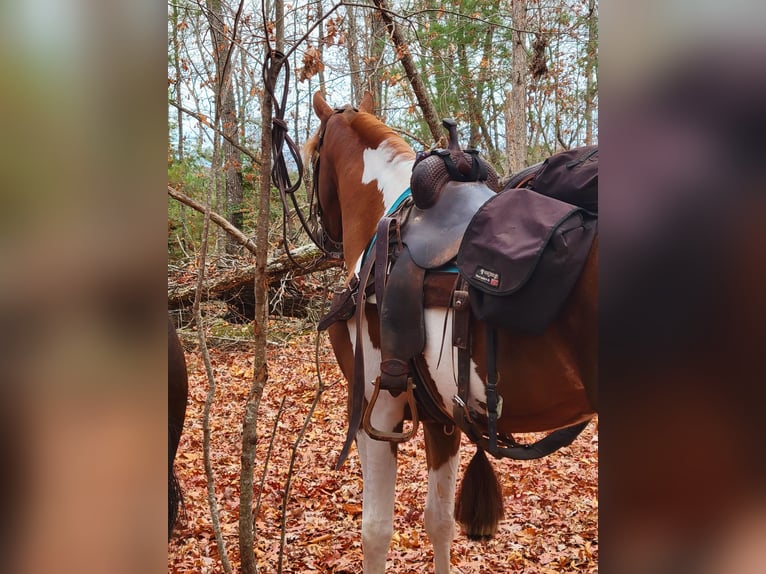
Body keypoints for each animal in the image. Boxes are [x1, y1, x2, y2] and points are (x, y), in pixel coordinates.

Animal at [308, 91, 600, 574]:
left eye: (313, 153)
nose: (324, 235)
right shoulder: (441, 415)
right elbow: (439, 521)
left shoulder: (377, 409)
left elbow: (375, 532)